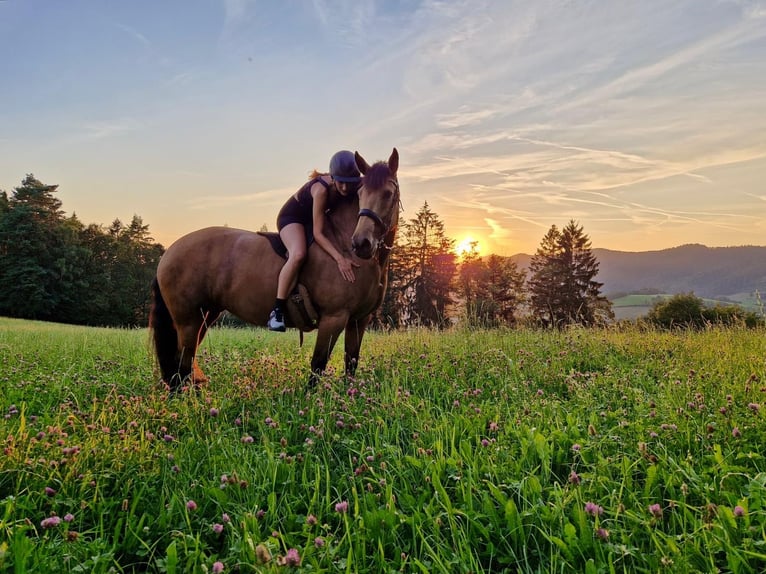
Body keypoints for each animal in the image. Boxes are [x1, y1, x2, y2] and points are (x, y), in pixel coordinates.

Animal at [149, 148, 400, 390]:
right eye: (360, 194)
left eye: (388, 193)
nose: (361, 243)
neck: (341, 246)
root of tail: (169, 252)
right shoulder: (333, 318)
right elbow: (317, 366)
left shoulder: (359, 320)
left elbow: (351, 363)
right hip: (188, 322)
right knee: (181, 367)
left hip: (206, 316)